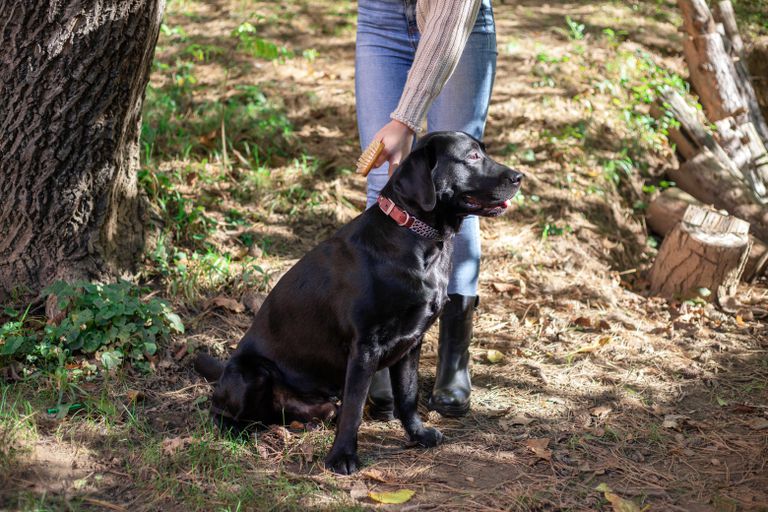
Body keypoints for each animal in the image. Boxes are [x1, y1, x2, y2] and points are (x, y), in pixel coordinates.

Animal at [195, 130, 524, 474]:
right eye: (472, 156)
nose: (519, 177)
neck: (415, 236)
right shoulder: (365, 346)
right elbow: (355, 408)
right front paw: (342, 457)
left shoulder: (412, 342)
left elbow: (408, 395)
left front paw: (418, 434)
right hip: (251, 374)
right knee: (219, 413)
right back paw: (239, 433)